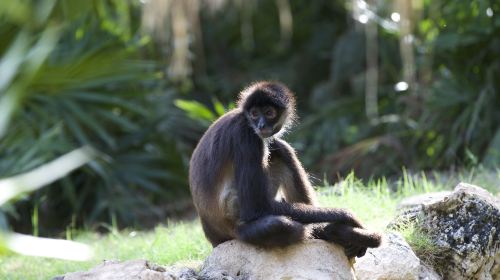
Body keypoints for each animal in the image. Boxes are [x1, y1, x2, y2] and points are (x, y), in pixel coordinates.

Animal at [189, 81, 380, 258]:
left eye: (269, 113)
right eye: (254, 114)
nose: (261, 125)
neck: (245, 119)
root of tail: (213, 237)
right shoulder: (246, 135)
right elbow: (256, 209)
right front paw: (346, 216)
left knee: (279, 148)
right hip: (238, 230)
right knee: (279, 226)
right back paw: (330, 231)